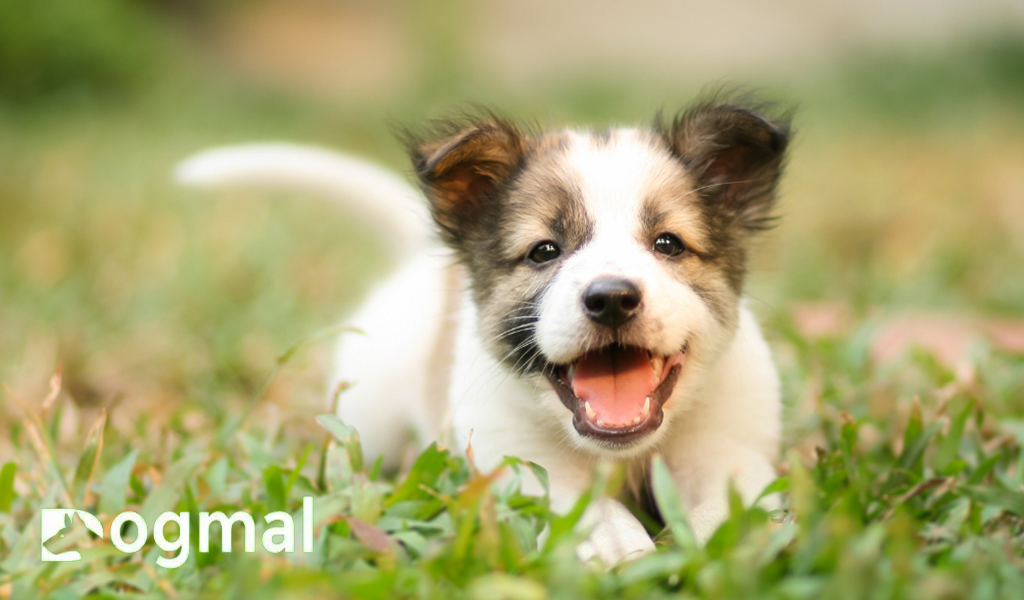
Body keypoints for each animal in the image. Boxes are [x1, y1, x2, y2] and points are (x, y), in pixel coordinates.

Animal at [176, 96, 790, 561]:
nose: (612, 298)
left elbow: (728, 510)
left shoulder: (732, 455)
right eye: (545, 251)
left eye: (668, 244)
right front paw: (619, 547)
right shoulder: (521, 464)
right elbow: (590, 509)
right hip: (367, 425)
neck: (625, 454)